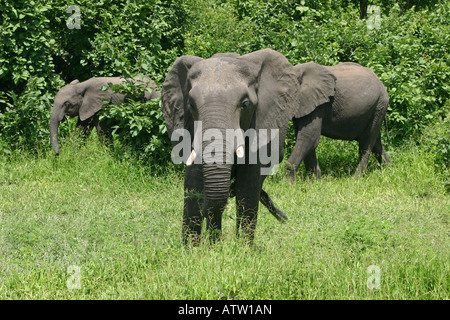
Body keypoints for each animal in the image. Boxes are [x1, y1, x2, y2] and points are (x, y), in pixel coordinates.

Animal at [161, 49, 334, 245]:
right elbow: (193, 182)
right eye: (190, 105)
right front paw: (192, 249)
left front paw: (243, 248)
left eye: (245, 104)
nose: (285, 219)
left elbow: (248, 185)